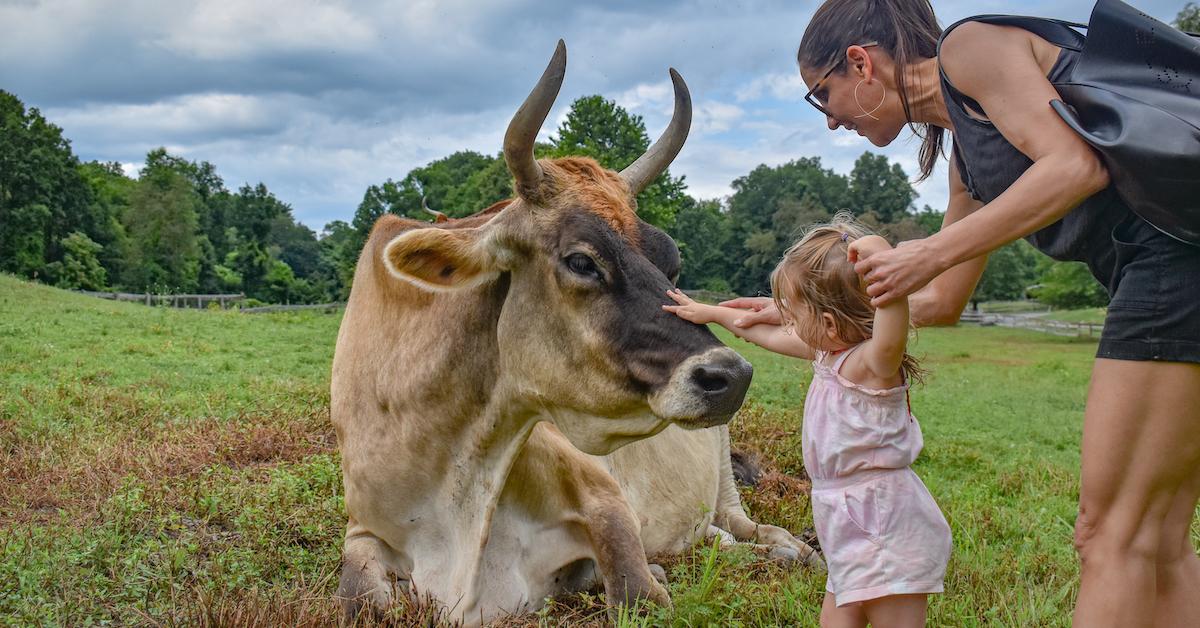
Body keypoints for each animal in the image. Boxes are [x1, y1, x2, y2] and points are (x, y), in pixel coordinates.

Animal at [328, 41, 820, 624]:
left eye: (671, 263)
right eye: (582, 261)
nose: (731, 375)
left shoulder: (604, 495)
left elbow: (636, 588)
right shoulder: (363, 528)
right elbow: (358, 596)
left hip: (722, 472)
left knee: (750, 528)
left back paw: (793, 550)